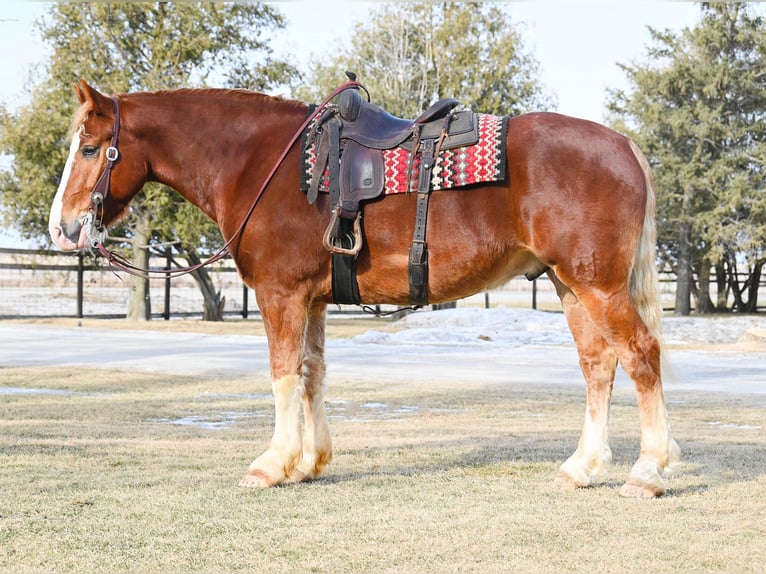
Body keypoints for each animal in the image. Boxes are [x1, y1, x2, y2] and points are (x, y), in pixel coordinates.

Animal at [51, 81, 680, 500]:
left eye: (90, 148)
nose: (62, 228)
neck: (259, 163)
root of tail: (622, 144)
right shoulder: (311, 300)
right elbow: (311, 374)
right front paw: (310, 462)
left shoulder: (280, 295)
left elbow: (283, 373)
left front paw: (272, 464)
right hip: (569, 285)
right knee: (598, 366)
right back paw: (582, 467)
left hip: (597, 286)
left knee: (640, 356)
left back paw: (646, 472)